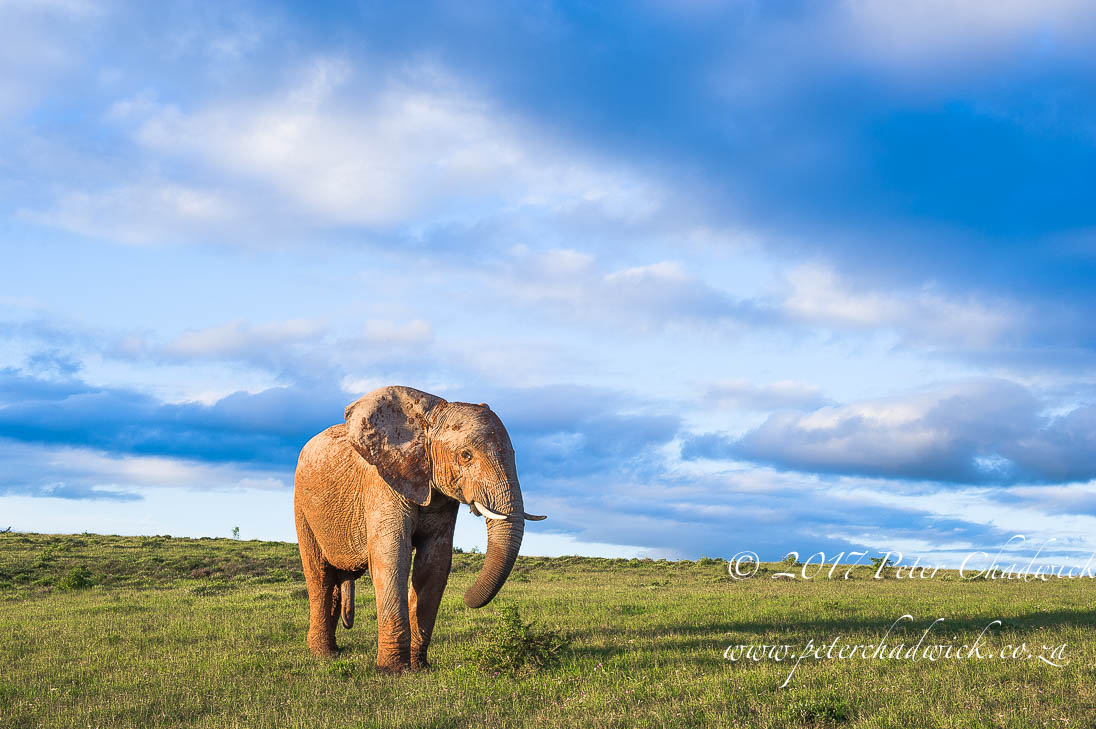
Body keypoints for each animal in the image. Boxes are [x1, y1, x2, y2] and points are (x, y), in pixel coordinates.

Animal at [293, 385, 546, 672]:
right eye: (466, 455)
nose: (467, 598)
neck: (427, 420)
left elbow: (434, 565)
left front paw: (419, 667)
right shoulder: (382, 482)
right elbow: (392, 558)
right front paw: (393, 670)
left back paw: (333, 650)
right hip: (303, 505)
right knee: (320, 577)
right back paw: (323, 654)